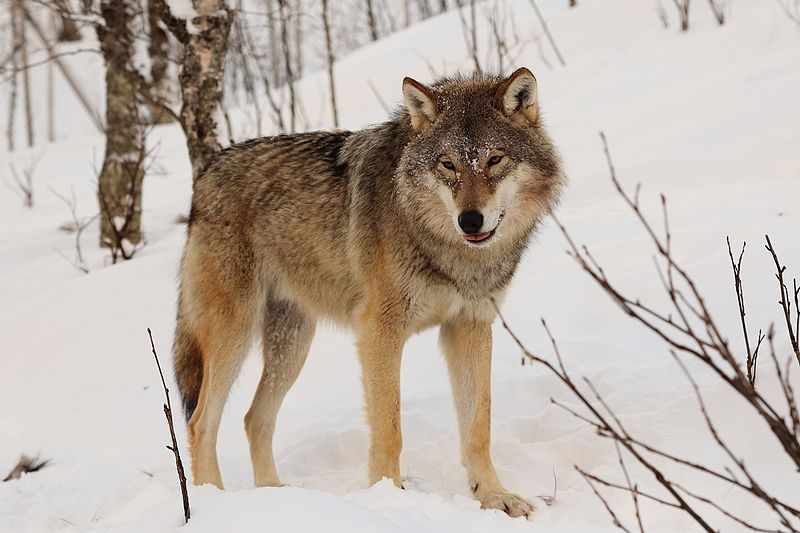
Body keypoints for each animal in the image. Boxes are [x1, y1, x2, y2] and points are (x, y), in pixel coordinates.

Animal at [173, 65, 564, 516]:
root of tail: (205, 175)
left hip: (293, 345)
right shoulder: (379, 331)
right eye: (448, 165)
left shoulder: (469, 327)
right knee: (201, 422)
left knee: (255, 418)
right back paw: (214, 502)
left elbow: (478, 426)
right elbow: (389, 428)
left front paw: (494, 497)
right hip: (234, 335)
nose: (470, 220)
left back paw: (278, 498)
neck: (447, 250)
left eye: (494, 159)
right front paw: (389, 498)